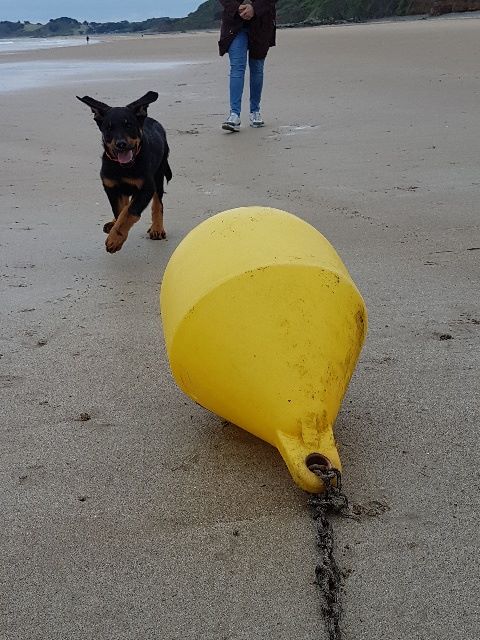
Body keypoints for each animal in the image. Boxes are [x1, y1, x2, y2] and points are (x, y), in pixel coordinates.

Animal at [76, 91, 172, 254]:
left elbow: (129, 212)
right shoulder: (110, 186)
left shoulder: (146, 187)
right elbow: (120, 210)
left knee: (158, 203)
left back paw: (157, 228)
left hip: (159, 174)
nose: (121, 144)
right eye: (109, 128)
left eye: (129, 125)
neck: (123, 168)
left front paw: (115, 240)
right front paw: (115, 229)